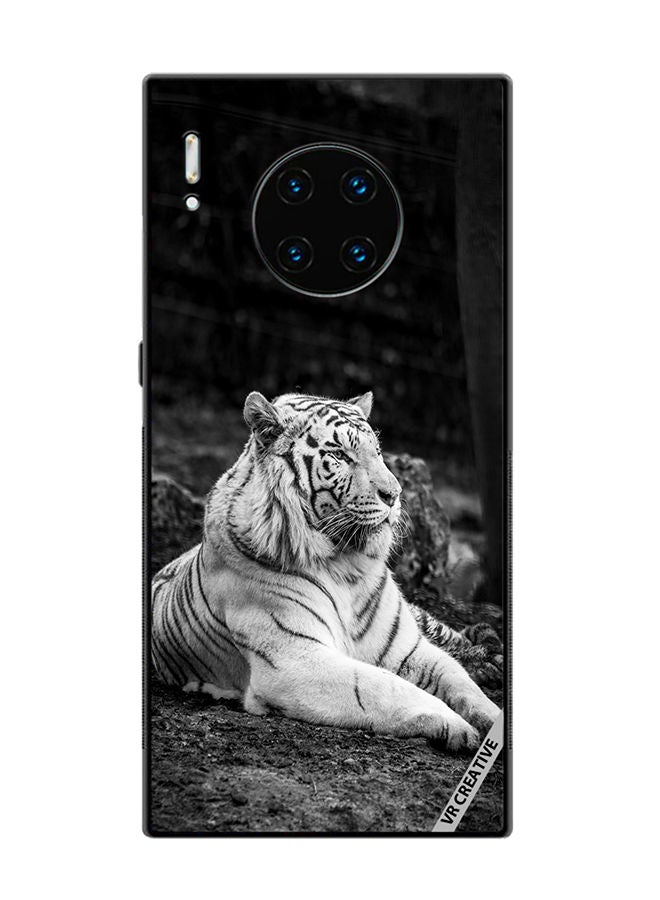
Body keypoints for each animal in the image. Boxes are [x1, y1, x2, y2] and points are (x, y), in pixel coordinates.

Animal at [151, 390, 500, 752]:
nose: (395, 495)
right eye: (340, 455)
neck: (348, 567)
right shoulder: (294, 660)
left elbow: (458, 678)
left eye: (377, 452)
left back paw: (489, 658)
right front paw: (457, 726)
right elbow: (383, 685)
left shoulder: (406, 647)